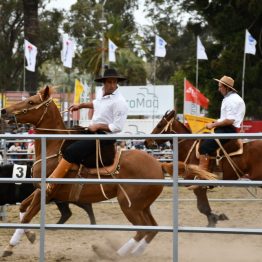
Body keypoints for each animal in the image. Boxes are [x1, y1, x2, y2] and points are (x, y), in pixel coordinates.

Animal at [1, 85, 165, 256]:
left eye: (31, 102)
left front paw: (9, 247)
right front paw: (30, 235)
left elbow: (26, 217)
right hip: (143, 206)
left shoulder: (46, 193)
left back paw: (115, 255)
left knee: (142, 230)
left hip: (129, 206)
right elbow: (22, 207)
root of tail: (159, 166)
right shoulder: (39, 190)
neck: (53, 148)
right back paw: (132, 253)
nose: (4, 111)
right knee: (152, 228)